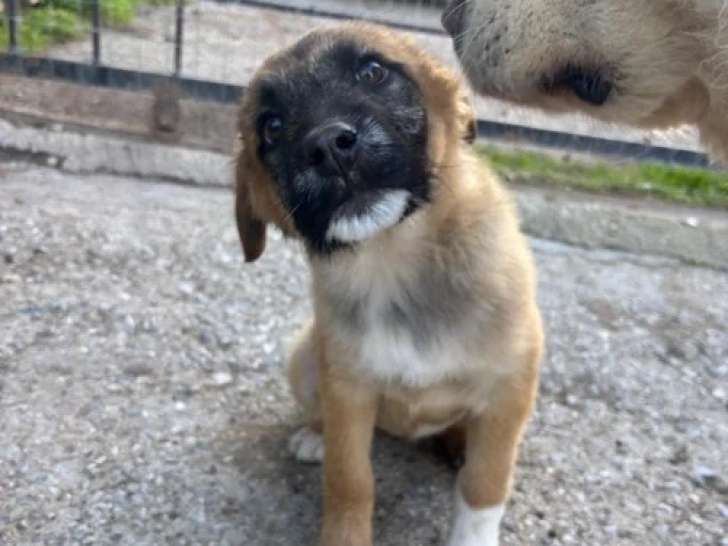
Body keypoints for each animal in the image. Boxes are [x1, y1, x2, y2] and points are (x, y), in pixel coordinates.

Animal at [234, 23, 543, 546]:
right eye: (271, 126)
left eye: (373, 72)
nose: (327, 146)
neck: (394, 262)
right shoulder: (349, 391)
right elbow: (349, 480)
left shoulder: (510, 389)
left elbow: (484, 484)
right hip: (305, 357)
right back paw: (314, 434)